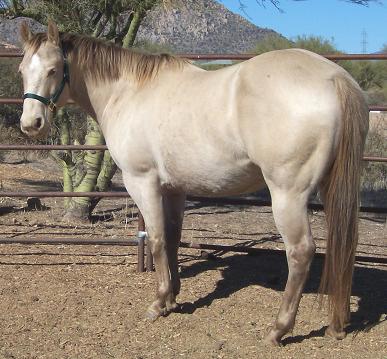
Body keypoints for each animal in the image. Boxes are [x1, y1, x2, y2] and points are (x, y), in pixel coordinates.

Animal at [18, 21, 370, 346]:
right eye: (22, 70)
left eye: (53, 69)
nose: (31, 124)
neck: (130, 92)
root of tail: (335, 78)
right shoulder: (175, 188)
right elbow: (173, 239)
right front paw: (173, 297)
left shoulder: (142, 182)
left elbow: (157, 239)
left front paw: (158, 303)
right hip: (331, 188)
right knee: (342, 245)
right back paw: (337, 325)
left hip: (288, 194)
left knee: (301, 252)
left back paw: (278, 330)